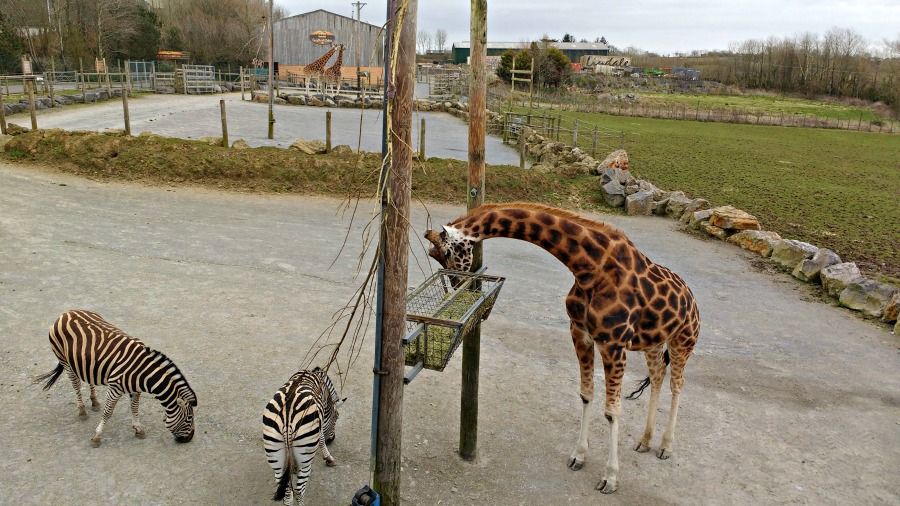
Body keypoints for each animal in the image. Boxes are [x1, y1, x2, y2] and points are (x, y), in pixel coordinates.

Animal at [35, 309, 197, 447]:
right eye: (189, 418)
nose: (189, 439)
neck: (143, 373)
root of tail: (66, 313)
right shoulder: (115, 388)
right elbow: (108, 412)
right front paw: (97, 437)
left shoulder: (136, 389)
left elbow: (134, 407)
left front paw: (138, 429)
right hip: (64, 360)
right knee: (76, 385)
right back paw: (82, 411)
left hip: (85, 363)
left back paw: (94, 401)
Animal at [263, 367, 345, 506]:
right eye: (336, 417)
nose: (331, 440)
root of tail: (287, 415)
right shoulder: (318, 421)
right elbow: (321, 439)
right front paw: (328, 457)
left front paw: (294, 466)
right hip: (305, 457)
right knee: (299, 490)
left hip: (274, 451)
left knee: (287, 494)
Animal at [424, 202, 700, 494]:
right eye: (436, 256)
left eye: (447, 252)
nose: (458, 285)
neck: (589, 267)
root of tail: (691, 298)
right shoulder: (580, 333)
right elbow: (586, 394)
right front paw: (579, 456)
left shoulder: (613, 343)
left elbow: (612, 410)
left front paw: (611, 478)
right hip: (654, 343)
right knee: (658, 376)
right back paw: (645, 441)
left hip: (683, 340)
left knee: (677, 384)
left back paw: (665, 446)